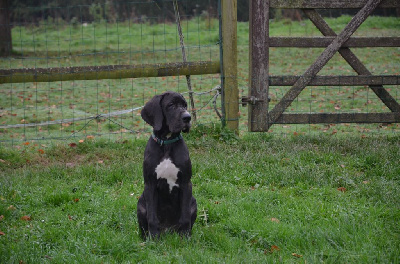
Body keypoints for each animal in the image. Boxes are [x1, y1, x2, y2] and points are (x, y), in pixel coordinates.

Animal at [137, 91, 198, 239]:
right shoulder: (150, 184)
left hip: (194, 202)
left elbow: (185, 218)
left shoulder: (186, 183)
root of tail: (168, 230)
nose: (187, 117)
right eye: (170, 105)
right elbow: (152, 218)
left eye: (185, 105)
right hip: (140, 204)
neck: (167, 143)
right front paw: (154, 239)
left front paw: (185, 239)